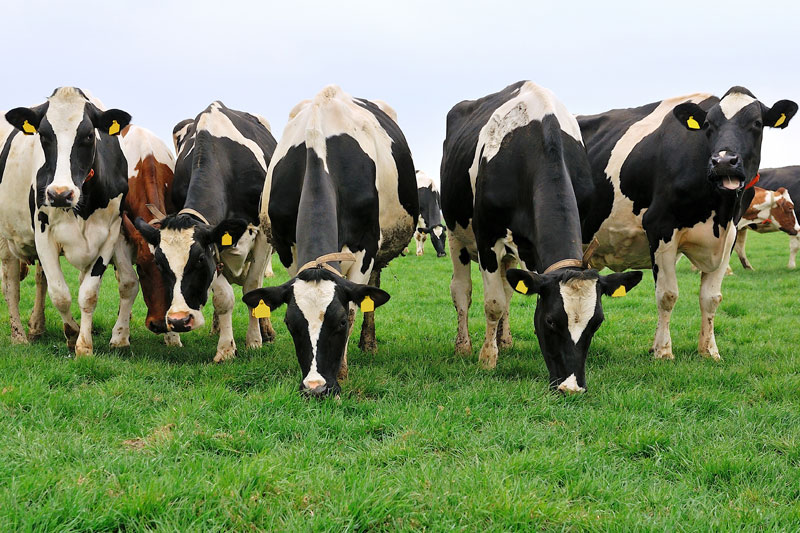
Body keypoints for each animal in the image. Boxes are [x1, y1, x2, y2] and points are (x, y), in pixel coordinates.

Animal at [1, 87, 133, 354]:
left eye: (89, 135)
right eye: (43, 135)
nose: (60, 194)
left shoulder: (110, 234)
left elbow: (88, 293)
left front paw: (84, 345)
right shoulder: (43, 234)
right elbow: (60, 294)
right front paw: (72, 334)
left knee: (39, 279)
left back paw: (36, 327)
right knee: (11, 285)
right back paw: (19, 336)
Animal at [133, 101, 276, 362]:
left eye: (199, 259)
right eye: (159, 263)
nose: (179, 321)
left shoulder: (261, 233)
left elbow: (252, 288)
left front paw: (254, 341)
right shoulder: (215, 242)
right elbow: (223, 297)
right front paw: (226, 348)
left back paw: (266, 331)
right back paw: (217, 328)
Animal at [241, 85, 418, 396]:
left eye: (340, 322)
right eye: (290, 324)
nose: (315, 387)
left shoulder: (365, 248)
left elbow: (356, 303)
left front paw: (343, 371)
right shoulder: (288, 249)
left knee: (373, 288)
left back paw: (368, 343)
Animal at [440, 81, 640, 392]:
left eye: (596, 323)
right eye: (550, 322)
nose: (571, 387)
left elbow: (511, 295)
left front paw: (498, 346)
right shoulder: (487, 239)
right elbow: (493, 303)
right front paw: (487, 359)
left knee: (508, 287)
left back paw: (505, 340)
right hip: (454, 235)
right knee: (462, 290)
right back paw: (464, 346)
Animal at [580, 88, 796, 362]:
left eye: (757, 123)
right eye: (708, 125)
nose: (723, 161)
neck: (719, 209)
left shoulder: (729, 235)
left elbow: (711, 297)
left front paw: (709, 350)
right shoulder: (660, 227)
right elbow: (667, 294)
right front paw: (663, 351)